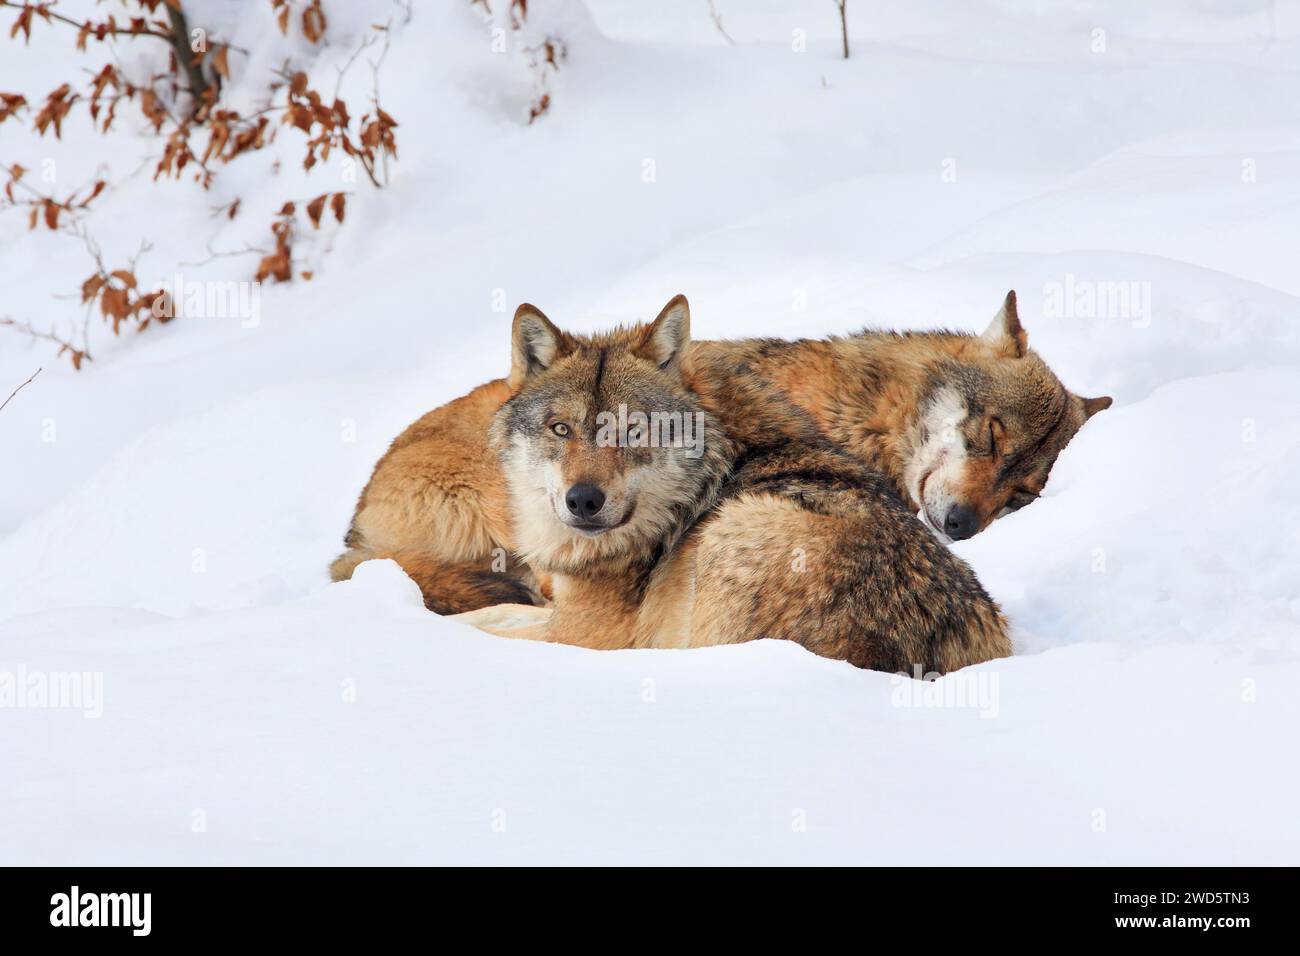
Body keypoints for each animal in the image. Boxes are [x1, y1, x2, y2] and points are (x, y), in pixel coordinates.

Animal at [457, 299, 1013, 671]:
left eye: (634, 430)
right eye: (560, 429)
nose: (584, 500)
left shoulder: (582, 633)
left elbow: (495, 621)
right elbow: (502, 610)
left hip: (735, 528)